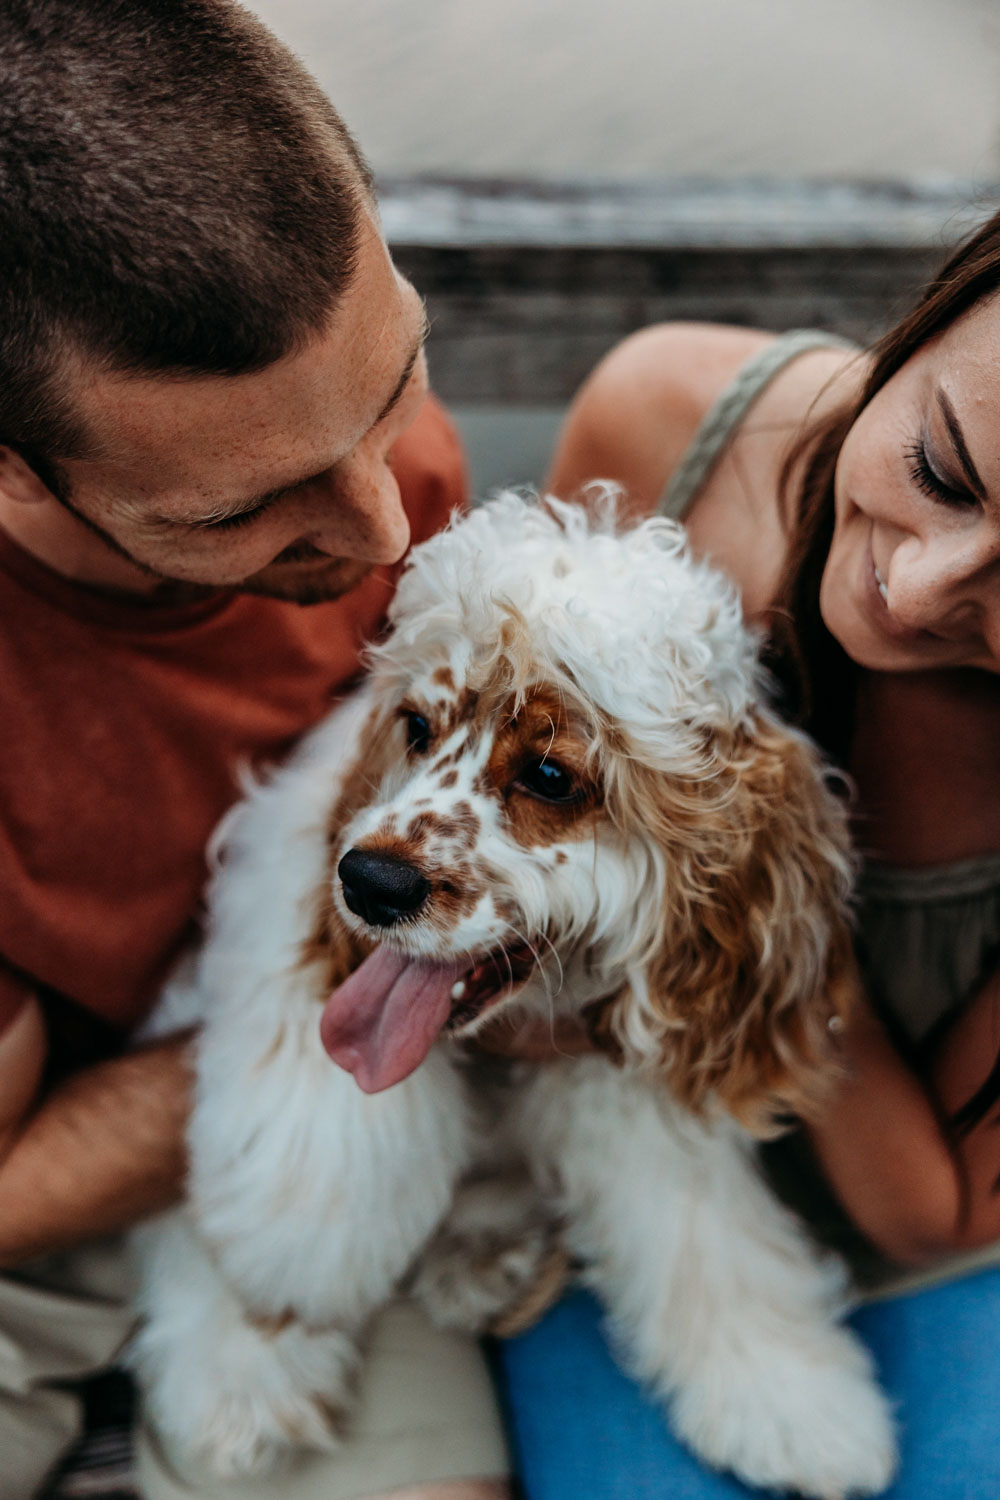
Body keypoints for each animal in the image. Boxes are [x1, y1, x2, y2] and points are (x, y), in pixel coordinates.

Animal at [132, 492, 897, 1497]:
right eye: (415, 729)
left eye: (549, 776)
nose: (366, 883)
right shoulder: (287, 918)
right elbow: (314, 1146)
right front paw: (271, 1290)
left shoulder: (631, 1071)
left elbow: (711, 1243)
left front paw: (794, 1397)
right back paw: (237, 1379)